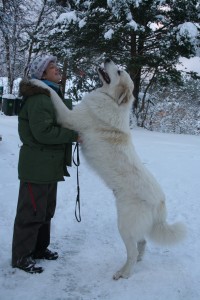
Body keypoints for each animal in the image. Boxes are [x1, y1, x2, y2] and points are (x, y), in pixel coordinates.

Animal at [30, 58, 187, 278]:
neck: (110, 99)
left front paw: (36, 82)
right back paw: (138, 260)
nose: (107, 59)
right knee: (142, 242)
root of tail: (160, 203)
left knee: (132, 250)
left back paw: (124, 273)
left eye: (119, 71)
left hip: (124, 225)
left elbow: (54, 96)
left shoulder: (68, 117)